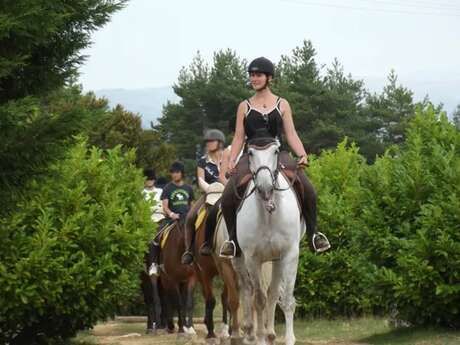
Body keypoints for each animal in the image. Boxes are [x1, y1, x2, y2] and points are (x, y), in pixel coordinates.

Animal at [232, 140, 304, 344]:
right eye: (250, 153)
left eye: (276, 151)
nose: (265, 188)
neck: (268, 214)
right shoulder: (252, 259)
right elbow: (259, 300)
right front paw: (260, 338)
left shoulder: (289, 255)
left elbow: (286, 300)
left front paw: (288, 339)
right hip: (239, 260)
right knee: (247, 290)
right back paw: (250, 333)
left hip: (276, 260)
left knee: (272, 294)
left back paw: (270, 334)